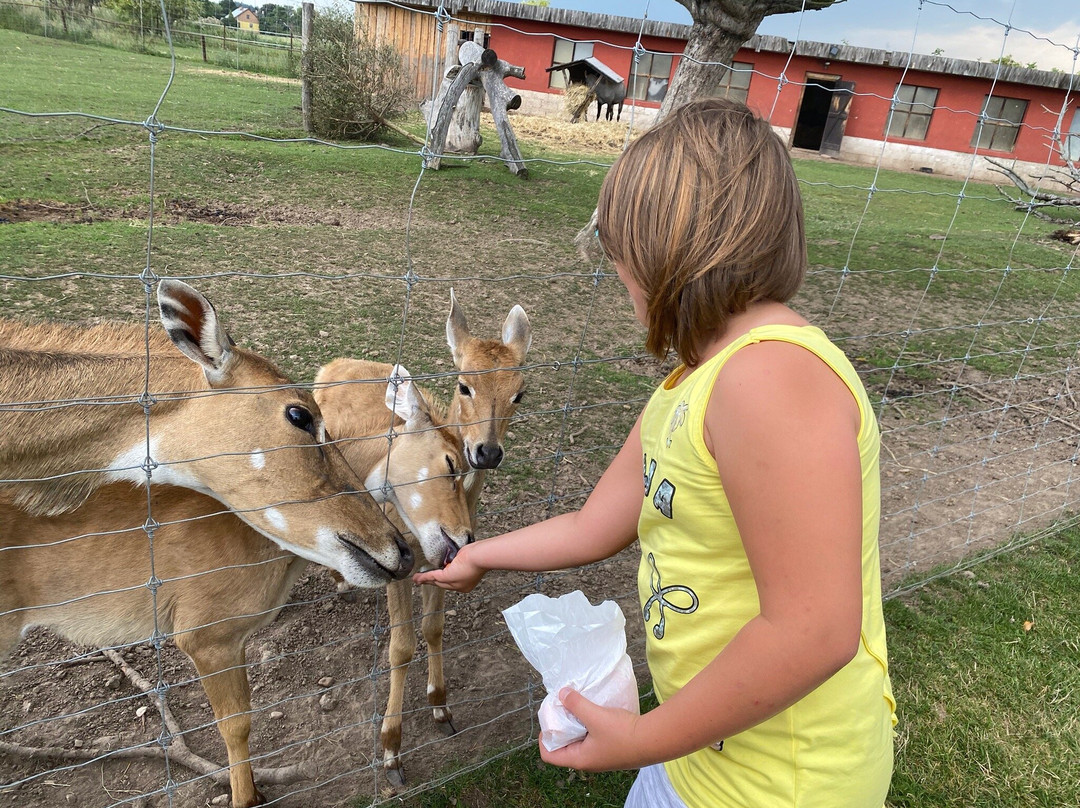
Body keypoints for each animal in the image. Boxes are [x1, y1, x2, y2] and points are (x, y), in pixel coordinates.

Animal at [317, 291, 533, 790]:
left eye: (520, 392)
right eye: (464, 384)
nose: (486, 452)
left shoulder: (441, 558)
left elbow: (434, 627)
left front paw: (441, 707)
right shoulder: (399, 560)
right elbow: (400, 646)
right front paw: (391, 751)